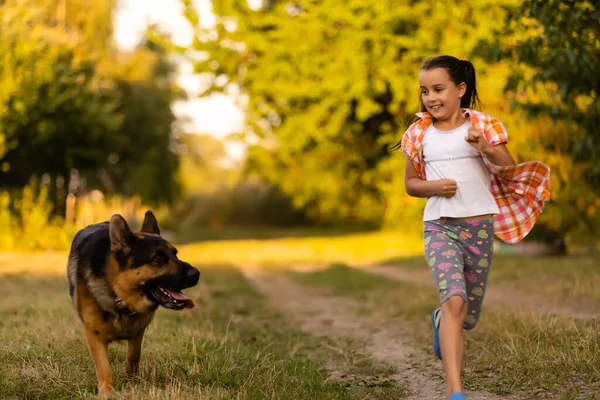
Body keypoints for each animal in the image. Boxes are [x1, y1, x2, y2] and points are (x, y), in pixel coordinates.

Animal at [67, 211, 200, 396]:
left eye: (175, 254)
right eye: (157, 258)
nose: (196, 274)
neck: (117, 291)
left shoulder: (139, 330)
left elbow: (133, 355)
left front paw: (133, 380)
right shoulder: (94, 334)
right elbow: (103, 367)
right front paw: (107, 391)